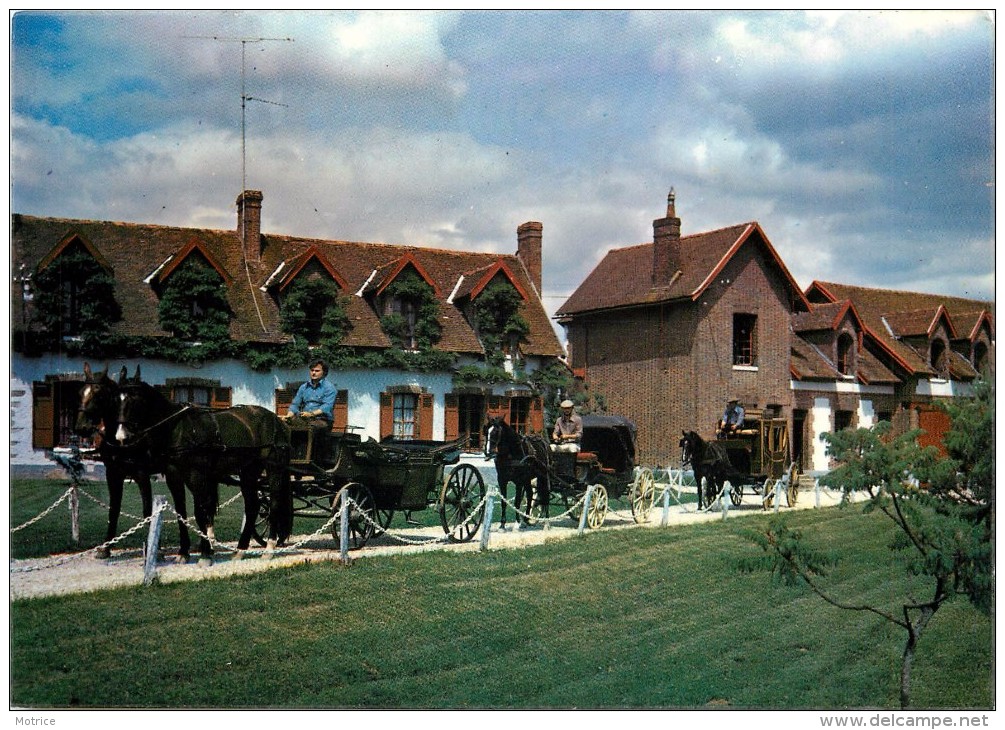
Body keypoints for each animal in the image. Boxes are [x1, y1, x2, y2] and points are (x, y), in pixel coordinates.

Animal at [73, 363, 193, 563]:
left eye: (99, 395)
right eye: (81, 392)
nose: (81, 428)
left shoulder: (142, 475)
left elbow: (147, 511)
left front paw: (156, 550)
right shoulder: (113, 474)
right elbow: (113, 510)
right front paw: (106, 548)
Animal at [116, 372, 293, 567]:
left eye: (135, 399)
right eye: (117, 399)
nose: (121, 437)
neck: (179, 430)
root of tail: (278, 422)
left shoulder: (197, 476)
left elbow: (201, 513)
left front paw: (205, 554)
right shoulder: (174, 477)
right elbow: (181, 513)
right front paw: (184, 552)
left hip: (274, 470)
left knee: (274, 504)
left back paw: (269, 548)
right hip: (248, 472)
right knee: (252, 506)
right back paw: (240, 550)